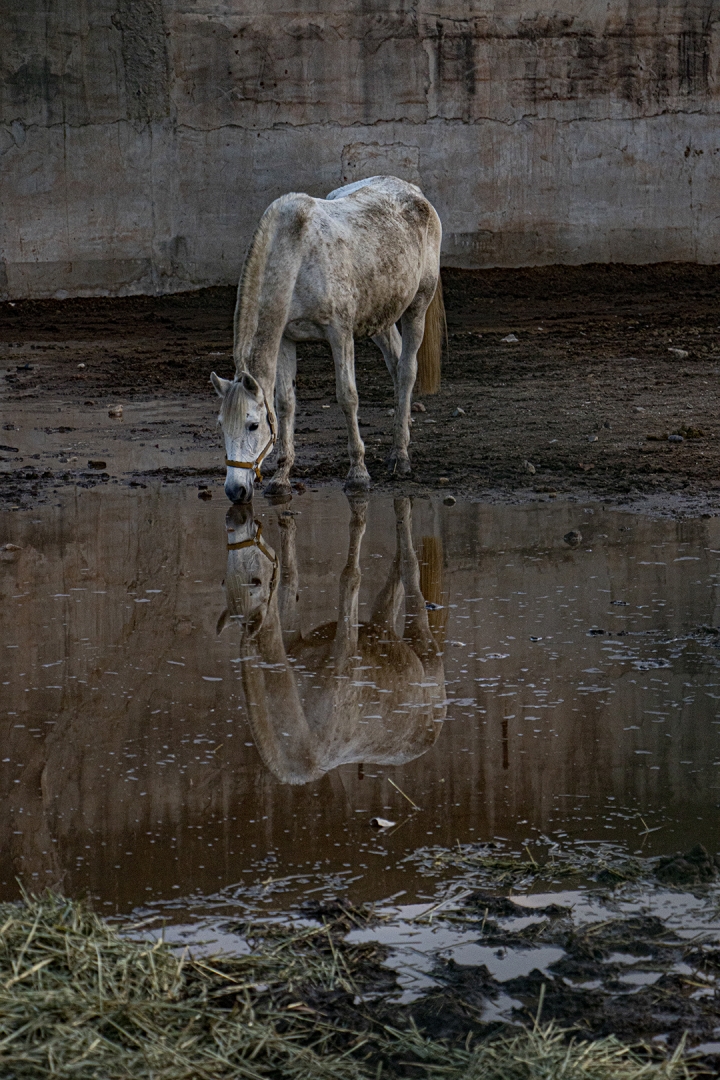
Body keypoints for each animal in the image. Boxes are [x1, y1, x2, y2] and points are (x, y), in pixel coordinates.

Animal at [211, 175, 444, 503]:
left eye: (253, 425)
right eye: (221, 426)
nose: (235, 490)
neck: (297, 259)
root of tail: (413, 191)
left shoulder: (340, 334)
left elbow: (347, 397)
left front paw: (358, 474)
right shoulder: (286, 339)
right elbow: (286, 403)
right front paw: (281, 478)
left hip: (417, 306)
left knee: (407, 370)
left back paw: (400, 456)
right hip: (379, 317)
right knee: (396, 362)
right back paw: (405, 424)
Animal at [217, 496, 446, 785]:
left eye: (255, 581)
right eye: (224, 580)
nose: (237, 518)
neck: (305, 744)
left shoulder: (344, 656)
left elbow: (350, 577)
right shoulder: (293, 640)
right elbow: (291, 577)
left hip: (424, 643)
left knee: (411, 569)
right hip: (383, 627)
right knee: (394, 580)